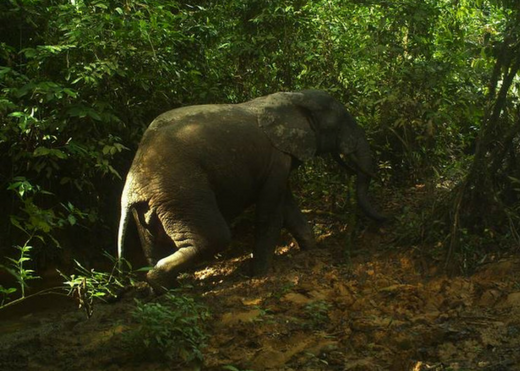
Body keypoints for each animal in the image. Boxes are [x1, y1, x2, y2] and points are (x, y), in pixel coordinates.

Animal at [119, 90, 386, 290]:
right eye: (341, 123)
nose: (385, 221)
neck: (292, 98)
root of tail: (131, 188)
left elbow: (287, 206)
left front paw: (312, 251)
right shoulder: (277, 158)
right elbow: (271, 212)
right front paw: (259, 275)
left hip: (152, 206)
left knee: (155, 247)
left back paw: (167, 291)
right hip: (182, 193)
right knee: (215, 238)